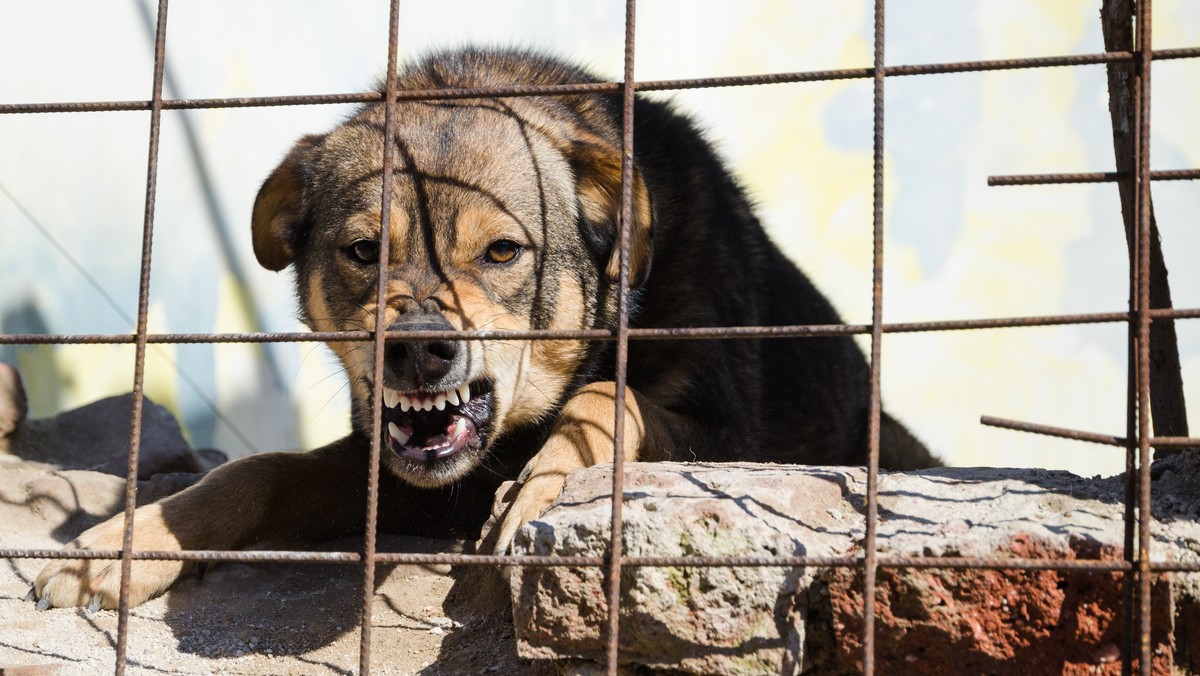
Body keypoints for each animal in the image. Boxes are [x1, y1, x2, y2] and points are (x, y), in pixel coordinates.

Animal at [30, 46, 936, 607]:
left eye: (502, 251)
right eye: (363, 251)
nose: (419, 351)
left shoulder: (727, 434)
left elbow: (609, 398)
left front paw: (543, 480)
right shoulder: (396, 474)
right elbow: (258, 473)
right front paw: (128, 542)